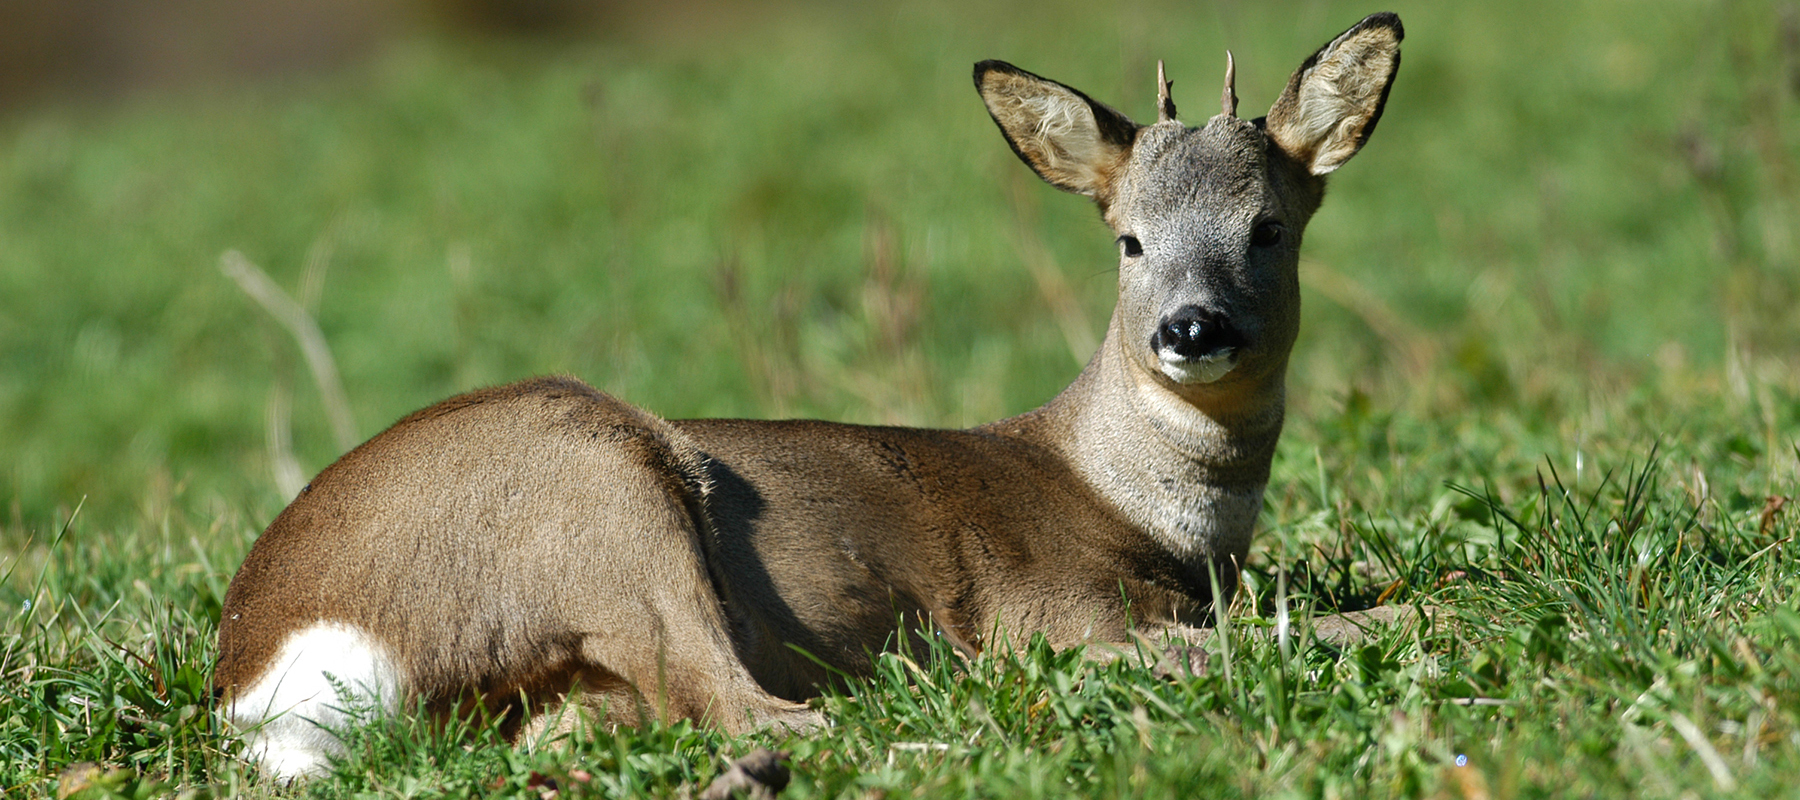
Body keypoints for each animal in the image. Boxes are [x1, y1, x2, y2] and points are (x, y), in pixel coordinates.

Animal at [214, 9, 1404, 778]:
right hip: (603, 490)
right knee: (751, 708)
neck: (1136, 503)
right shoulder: (1050, 604)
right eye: (1130, 239)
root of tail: (268, 663)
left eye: (1269, 227)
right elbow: (1284, 630)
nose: (1190, 328)